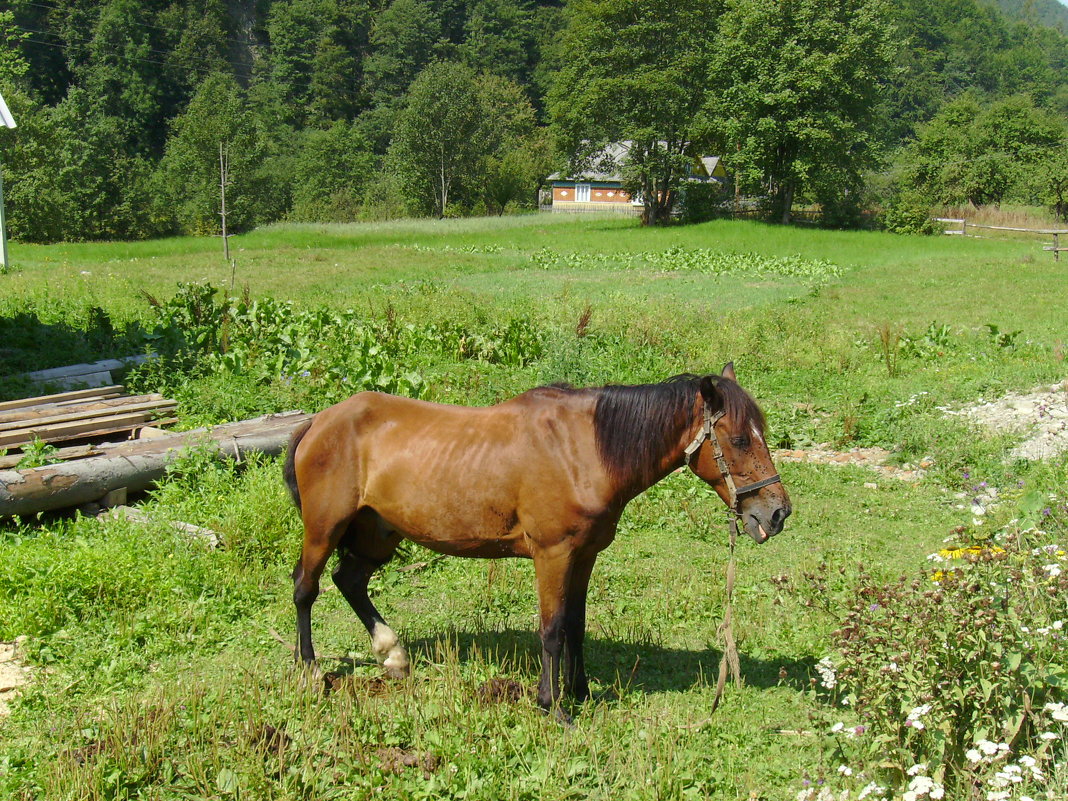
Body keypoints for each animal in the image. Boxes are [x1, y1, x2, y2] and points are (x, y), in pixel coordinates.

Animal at [288, 363, 790, 713]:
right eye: (741, 439)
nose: (778, 511)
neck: (583, 451)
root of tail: (317, 422)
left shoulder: (585, 556)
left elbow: (575, 625)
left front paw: (580, 691)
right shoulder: (552, 554)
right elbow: (551, 630)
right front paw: (552, 706)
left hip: (377, 532)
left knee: (350, 580)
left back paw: (391, 655)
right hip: (325, 528)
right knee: (306, 588)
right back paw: (311, 672)